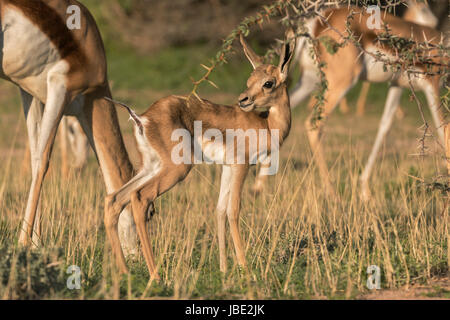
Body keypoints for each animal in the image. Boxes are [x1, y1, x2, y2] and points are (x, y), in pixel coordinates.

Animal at [0, 0, 141, 255]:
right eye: (151, 210)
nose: (137, 256)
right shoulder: (61, 87)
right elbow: (43, 162)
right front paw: (23, 243)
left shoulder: (30, 94)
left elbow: (35, 157)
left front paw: (36, 243)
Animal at [104, 31, 298, 278]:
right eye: (251, 81)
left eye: (267, 82)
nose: (243, 100)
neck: (267, 124)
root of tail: (143, 118)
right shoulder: (242, 165)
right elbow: (233, 210)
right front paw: (245, 269)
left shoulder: (228, 167)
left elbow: (220, 210)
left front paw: (224, 269)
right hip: (177, 169)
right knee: (139, 197)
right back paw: (155, 275)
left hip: (151, 166)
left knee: (115, 199)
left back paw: (125, 272)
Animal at [255, 3, 448, 200]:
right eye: (423, 8)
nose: (433, 20)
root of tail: (315, 22)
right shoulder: (432, 86)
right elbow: (442, 129)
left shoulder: (397, 85)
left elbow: (384, 127)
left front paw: (364, 189)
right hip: (341, 81)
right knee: (313, 125)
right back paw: (332, 193)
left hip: (308, 80)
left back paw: (258, 187)